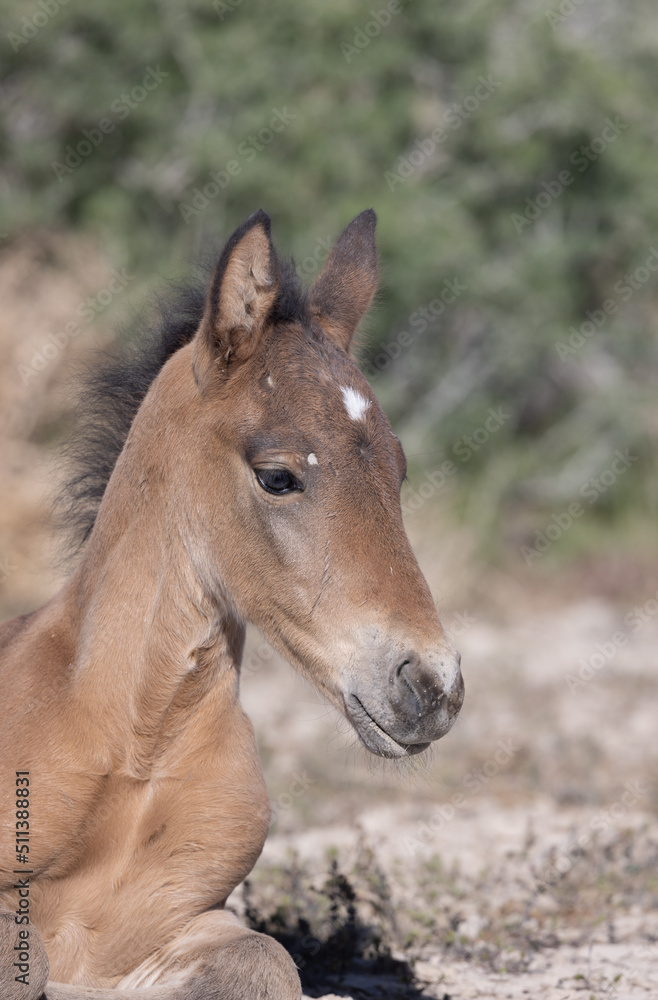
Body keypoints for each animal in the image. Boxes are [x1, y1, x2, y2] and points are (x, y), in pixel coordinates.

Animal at [0, 207, 462, 996]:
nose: (431, 686)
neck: (136, 742)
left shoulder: (182, 918)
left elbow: (263, 961)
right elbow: (23, 963)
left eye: (398, 470)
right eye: (277, 476)